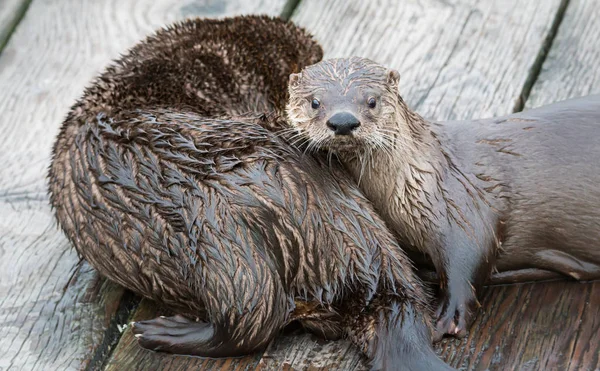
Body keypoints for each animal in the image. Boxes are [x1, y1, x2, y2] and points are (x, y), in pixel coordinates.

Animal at [286, 56, 600, 342]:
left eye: (372, 100)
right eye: (315, 102)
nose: (343, 121)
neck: (418, 177)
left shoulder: (462, 207)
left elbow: (465, 263)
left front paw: (449, 319)